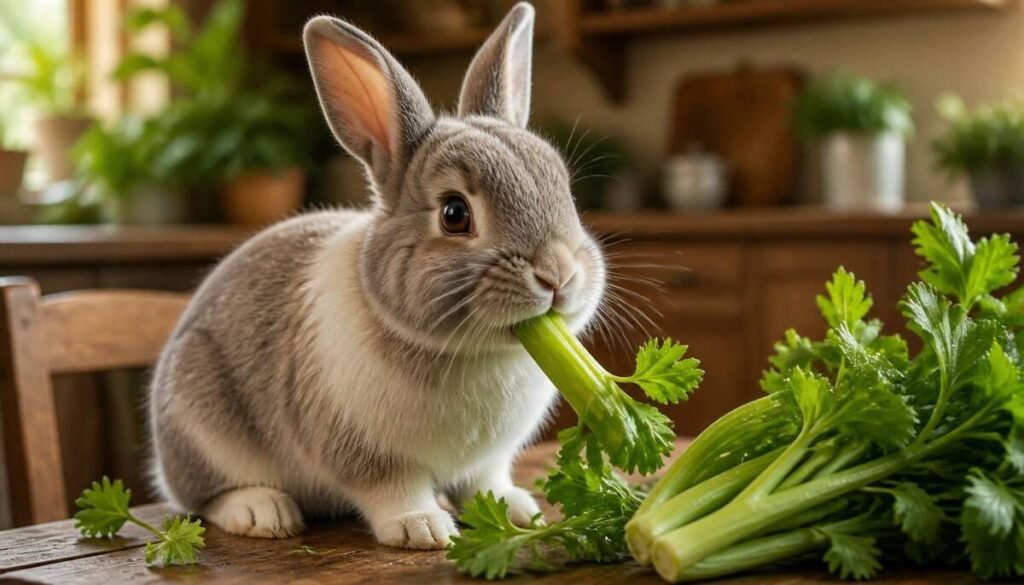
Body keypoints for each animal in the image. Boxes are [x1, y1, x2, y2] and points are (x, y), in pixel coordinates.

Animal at [148, 1, 606, 550]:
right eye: (455, 214)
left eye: (564, 189)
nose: (558, 275)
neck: (468, 351)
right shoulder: (366, 455)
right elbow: (392, 489)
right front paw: (423, 528)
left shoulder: (488, 462)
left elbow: (485, 484)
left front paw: (518, 511)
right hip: (201, 425)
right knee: (201, 498)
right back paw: (262, 512)